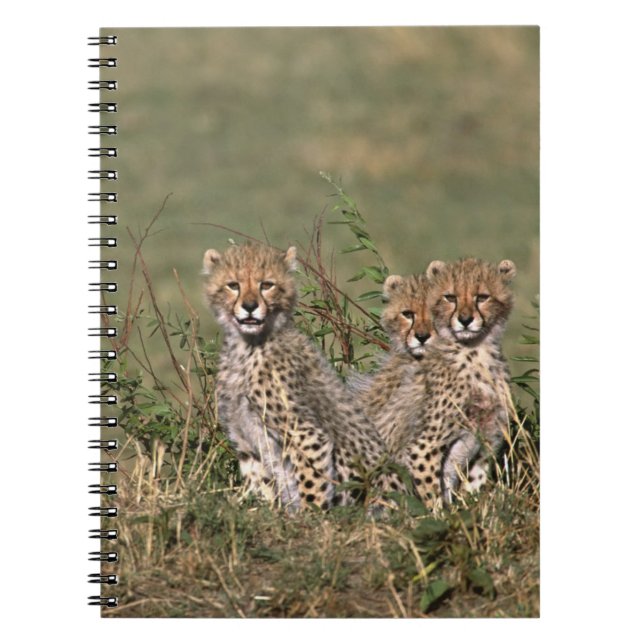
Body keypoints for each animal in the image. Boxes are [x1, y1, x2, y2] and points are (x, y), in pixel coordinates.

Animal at [202, 242, 400, 511]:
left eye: (267, 285)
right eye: (233, 285)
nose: (250, 306)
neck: (247, 346)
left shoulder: (306, 433)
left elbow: (311, 483)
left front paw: (312, 516)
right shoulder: (245, 440)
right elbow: (260, 483)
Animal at [362, 257, 516, 507]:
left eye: (482, 297)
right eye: (408, 314)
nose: (422, 337)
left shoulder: (488, 438)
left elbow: (473, 487)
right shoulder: (422, 445)